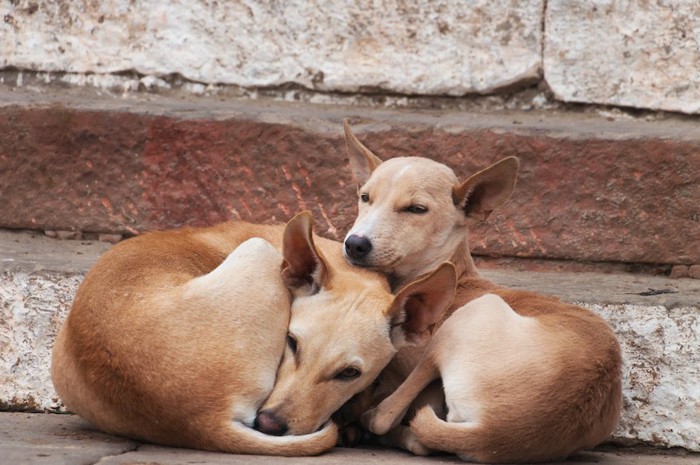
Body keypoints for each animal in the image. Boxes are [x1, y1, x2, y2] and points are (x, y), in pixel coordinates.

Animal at [342, 121, 620, 462]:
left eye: (416, 209)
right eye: (365, 197)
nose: (355, 244)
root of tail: (496, 433)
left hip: (468, 316)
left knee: (386, 418)